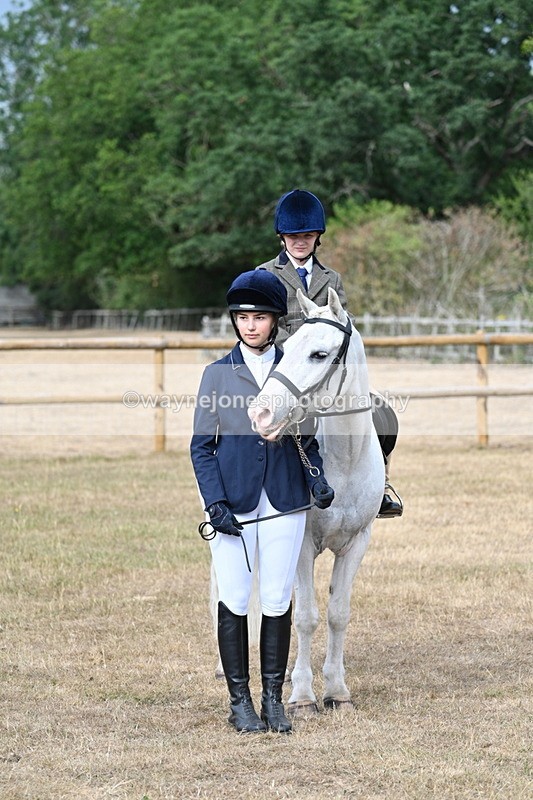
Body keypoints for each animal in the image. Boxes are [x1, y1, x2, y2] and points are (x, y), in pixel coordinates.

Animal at [246, 287, 384, 715]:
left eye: (319, 354)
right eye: (286, 347)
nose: (261, 414)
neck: (345, 458)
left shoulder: (357, 543)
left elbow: (338, 614)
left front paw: (337, 690)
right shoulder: (303, 544)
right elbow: (305, 616)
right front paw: (303, 696)